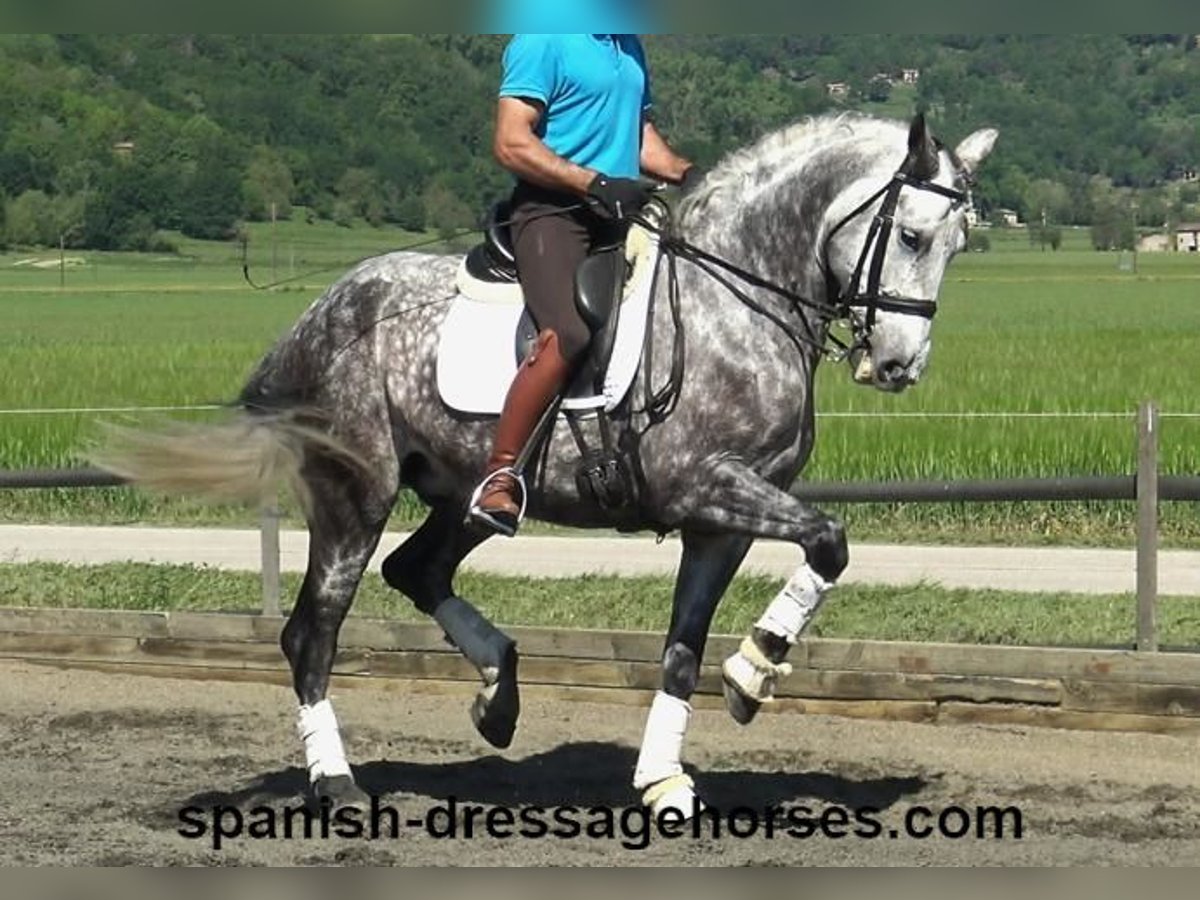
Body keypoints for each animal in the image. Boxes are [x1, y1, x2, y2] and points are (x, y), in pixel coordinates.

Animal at [100, 112, 993, 816]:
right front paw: (755, 671)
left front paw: (667, 776)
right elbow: (831, 541)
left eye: (961, 244)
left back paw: (499, 694)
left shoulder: (722, 521)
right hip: (355, 492)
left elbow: (684, 648)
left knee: (418, 571)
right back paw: (338, 781)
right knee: (311, 632)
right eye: (911, 235)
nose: (899, 365)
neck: (740, 303)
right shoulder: (705, 483)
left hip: (467, 492)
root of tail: (324, 309)